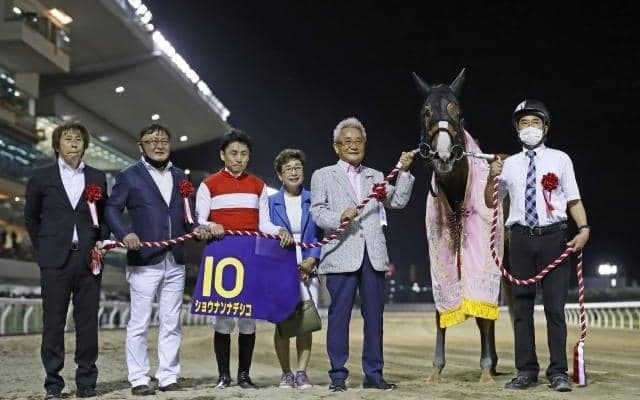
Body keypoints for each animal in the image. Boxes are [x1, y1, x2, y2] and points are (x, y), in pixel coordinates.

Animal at [413, 69, 509, 384]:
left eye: (458, 110)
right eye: (426, 111)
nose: (443, 156)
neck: (456, 194)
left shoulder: (486, 253)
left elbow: (484, 311)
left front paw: (486, 369)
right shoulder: (437, 253)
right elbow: (440, 306)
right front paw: (435, 370)